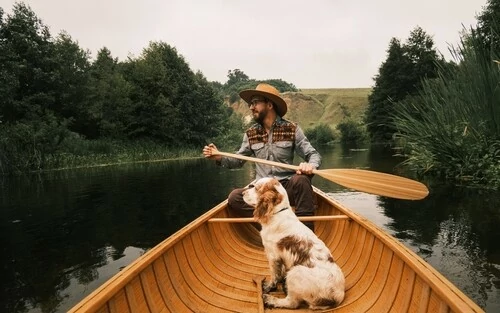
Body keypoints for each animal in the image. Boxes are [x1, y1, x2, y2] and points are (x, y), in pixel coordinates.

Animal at [241, 177, 344, 308]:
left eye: (255, 187)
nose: (242, 193)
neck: (278, 212)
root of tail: (336, 298)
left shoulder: (273, 256)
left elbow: (274, 275)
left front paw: (269, 286)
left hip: (295, 272)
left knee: (292, 302)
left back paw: (271, 299)